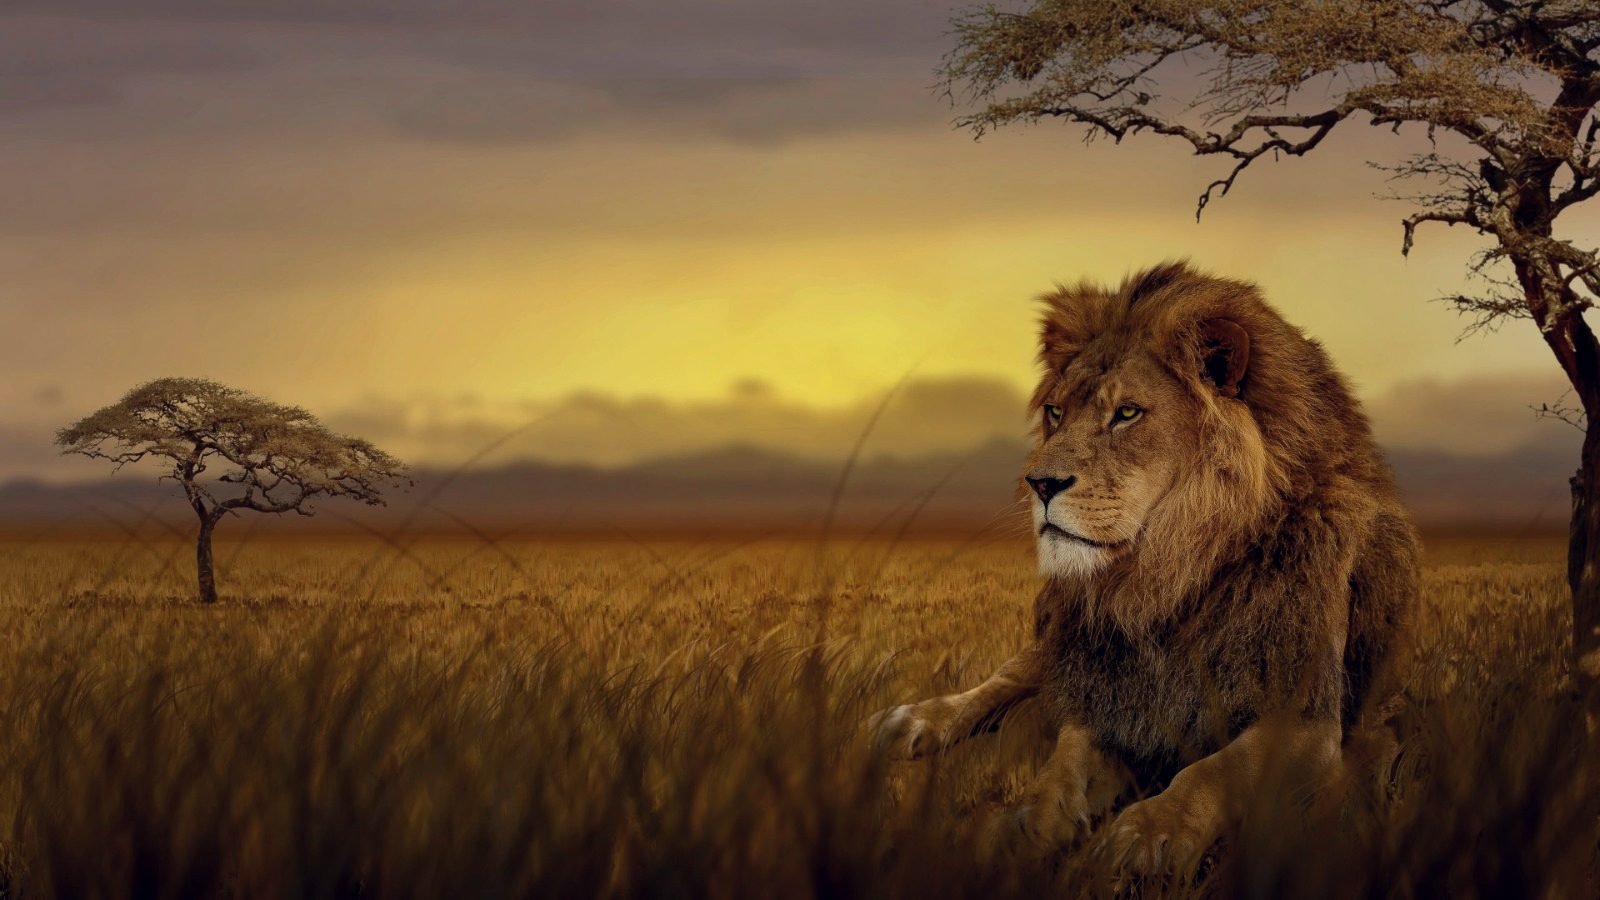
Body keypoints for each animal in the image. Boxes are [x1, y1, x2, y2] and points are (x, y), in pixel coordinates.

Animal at [872, 260, 1418, 872]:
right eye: (1056, 412)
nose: (1039, 484)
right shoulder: (1106, 691)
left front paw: (1149, 833)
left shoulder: (1306, 717)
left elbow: (1212, 770)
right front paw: (1022, 825)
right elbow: (1061, 768)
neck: (1167, 580)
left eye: (1127, 413)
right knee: (1012, 675)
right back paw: (915, 722)